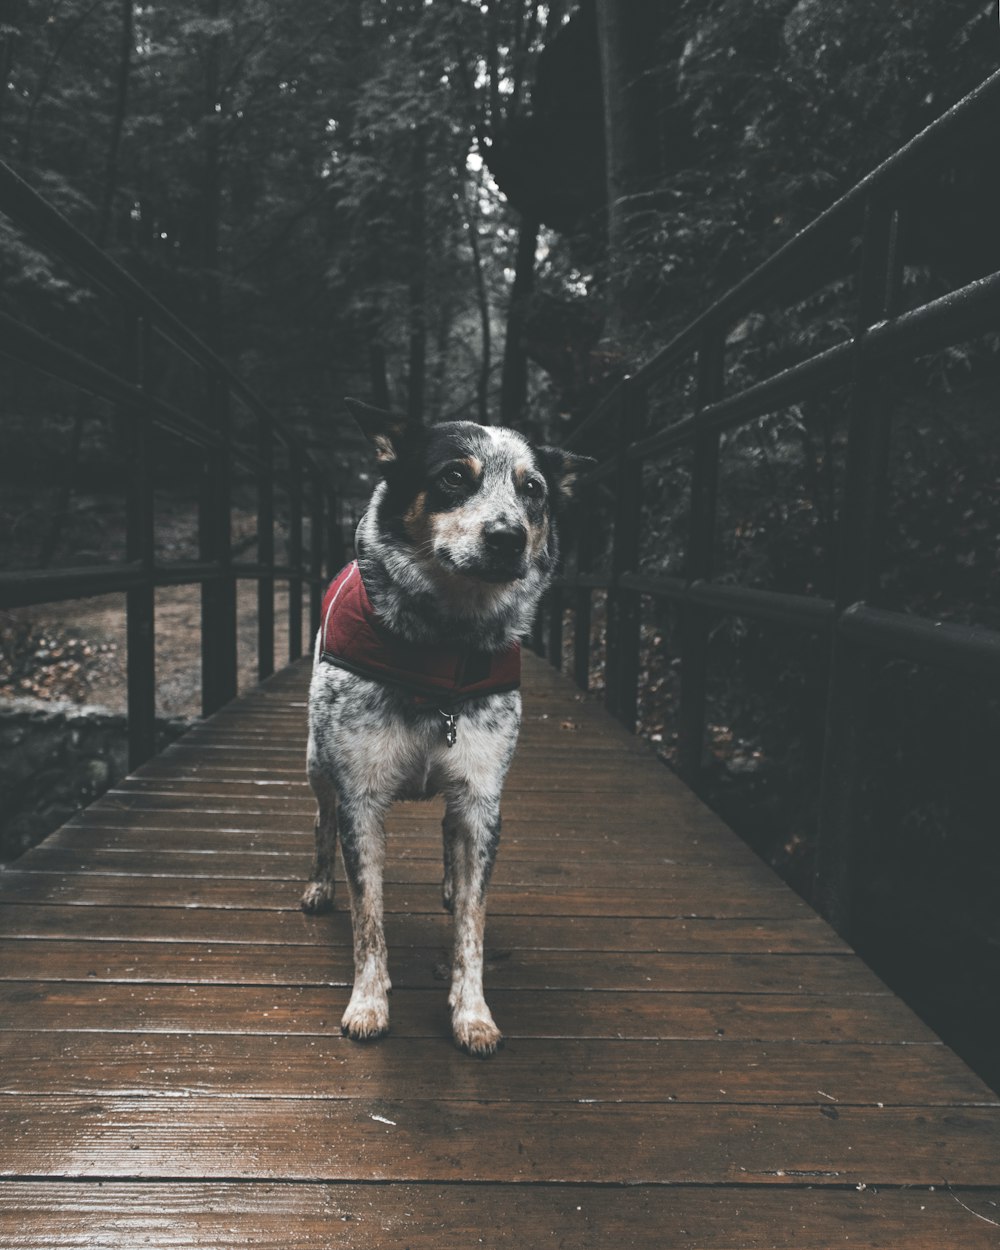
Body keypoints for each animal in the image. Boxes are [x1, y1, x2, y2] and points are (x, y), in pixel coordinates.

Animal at [301, 400, 590, 1055]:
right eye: (455, 477)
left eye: (532, 490)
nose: (508, 537)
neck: (442, 650)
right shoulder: (359, 796)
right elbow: (369, 917)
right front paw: (368, 1004)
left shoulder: (482, 794)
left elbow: (472, 924)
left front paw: (472, 1012)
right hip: (316, 762)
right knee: (320, 820)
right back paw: (319, 886)